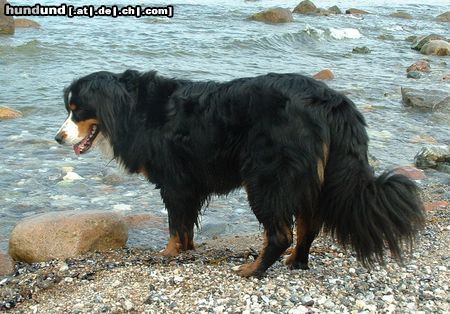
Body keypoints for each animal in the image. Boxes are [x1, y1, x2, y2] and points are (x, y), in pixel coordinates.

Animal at [54, 70, 424, 278]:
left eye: (77, 111)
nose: (57, 137)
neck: (131, 108)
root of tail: (330, 100)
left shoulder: (174, 181)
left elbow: (175, 224)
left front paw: (167, 254)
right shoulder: (188, 184)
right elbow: (185, 225)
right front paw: (186, 250)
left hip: (267, 177)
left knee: (280, 233)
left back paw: (253, 270)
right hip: (309, 180)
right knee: (308, 227)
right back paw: (296, 262)